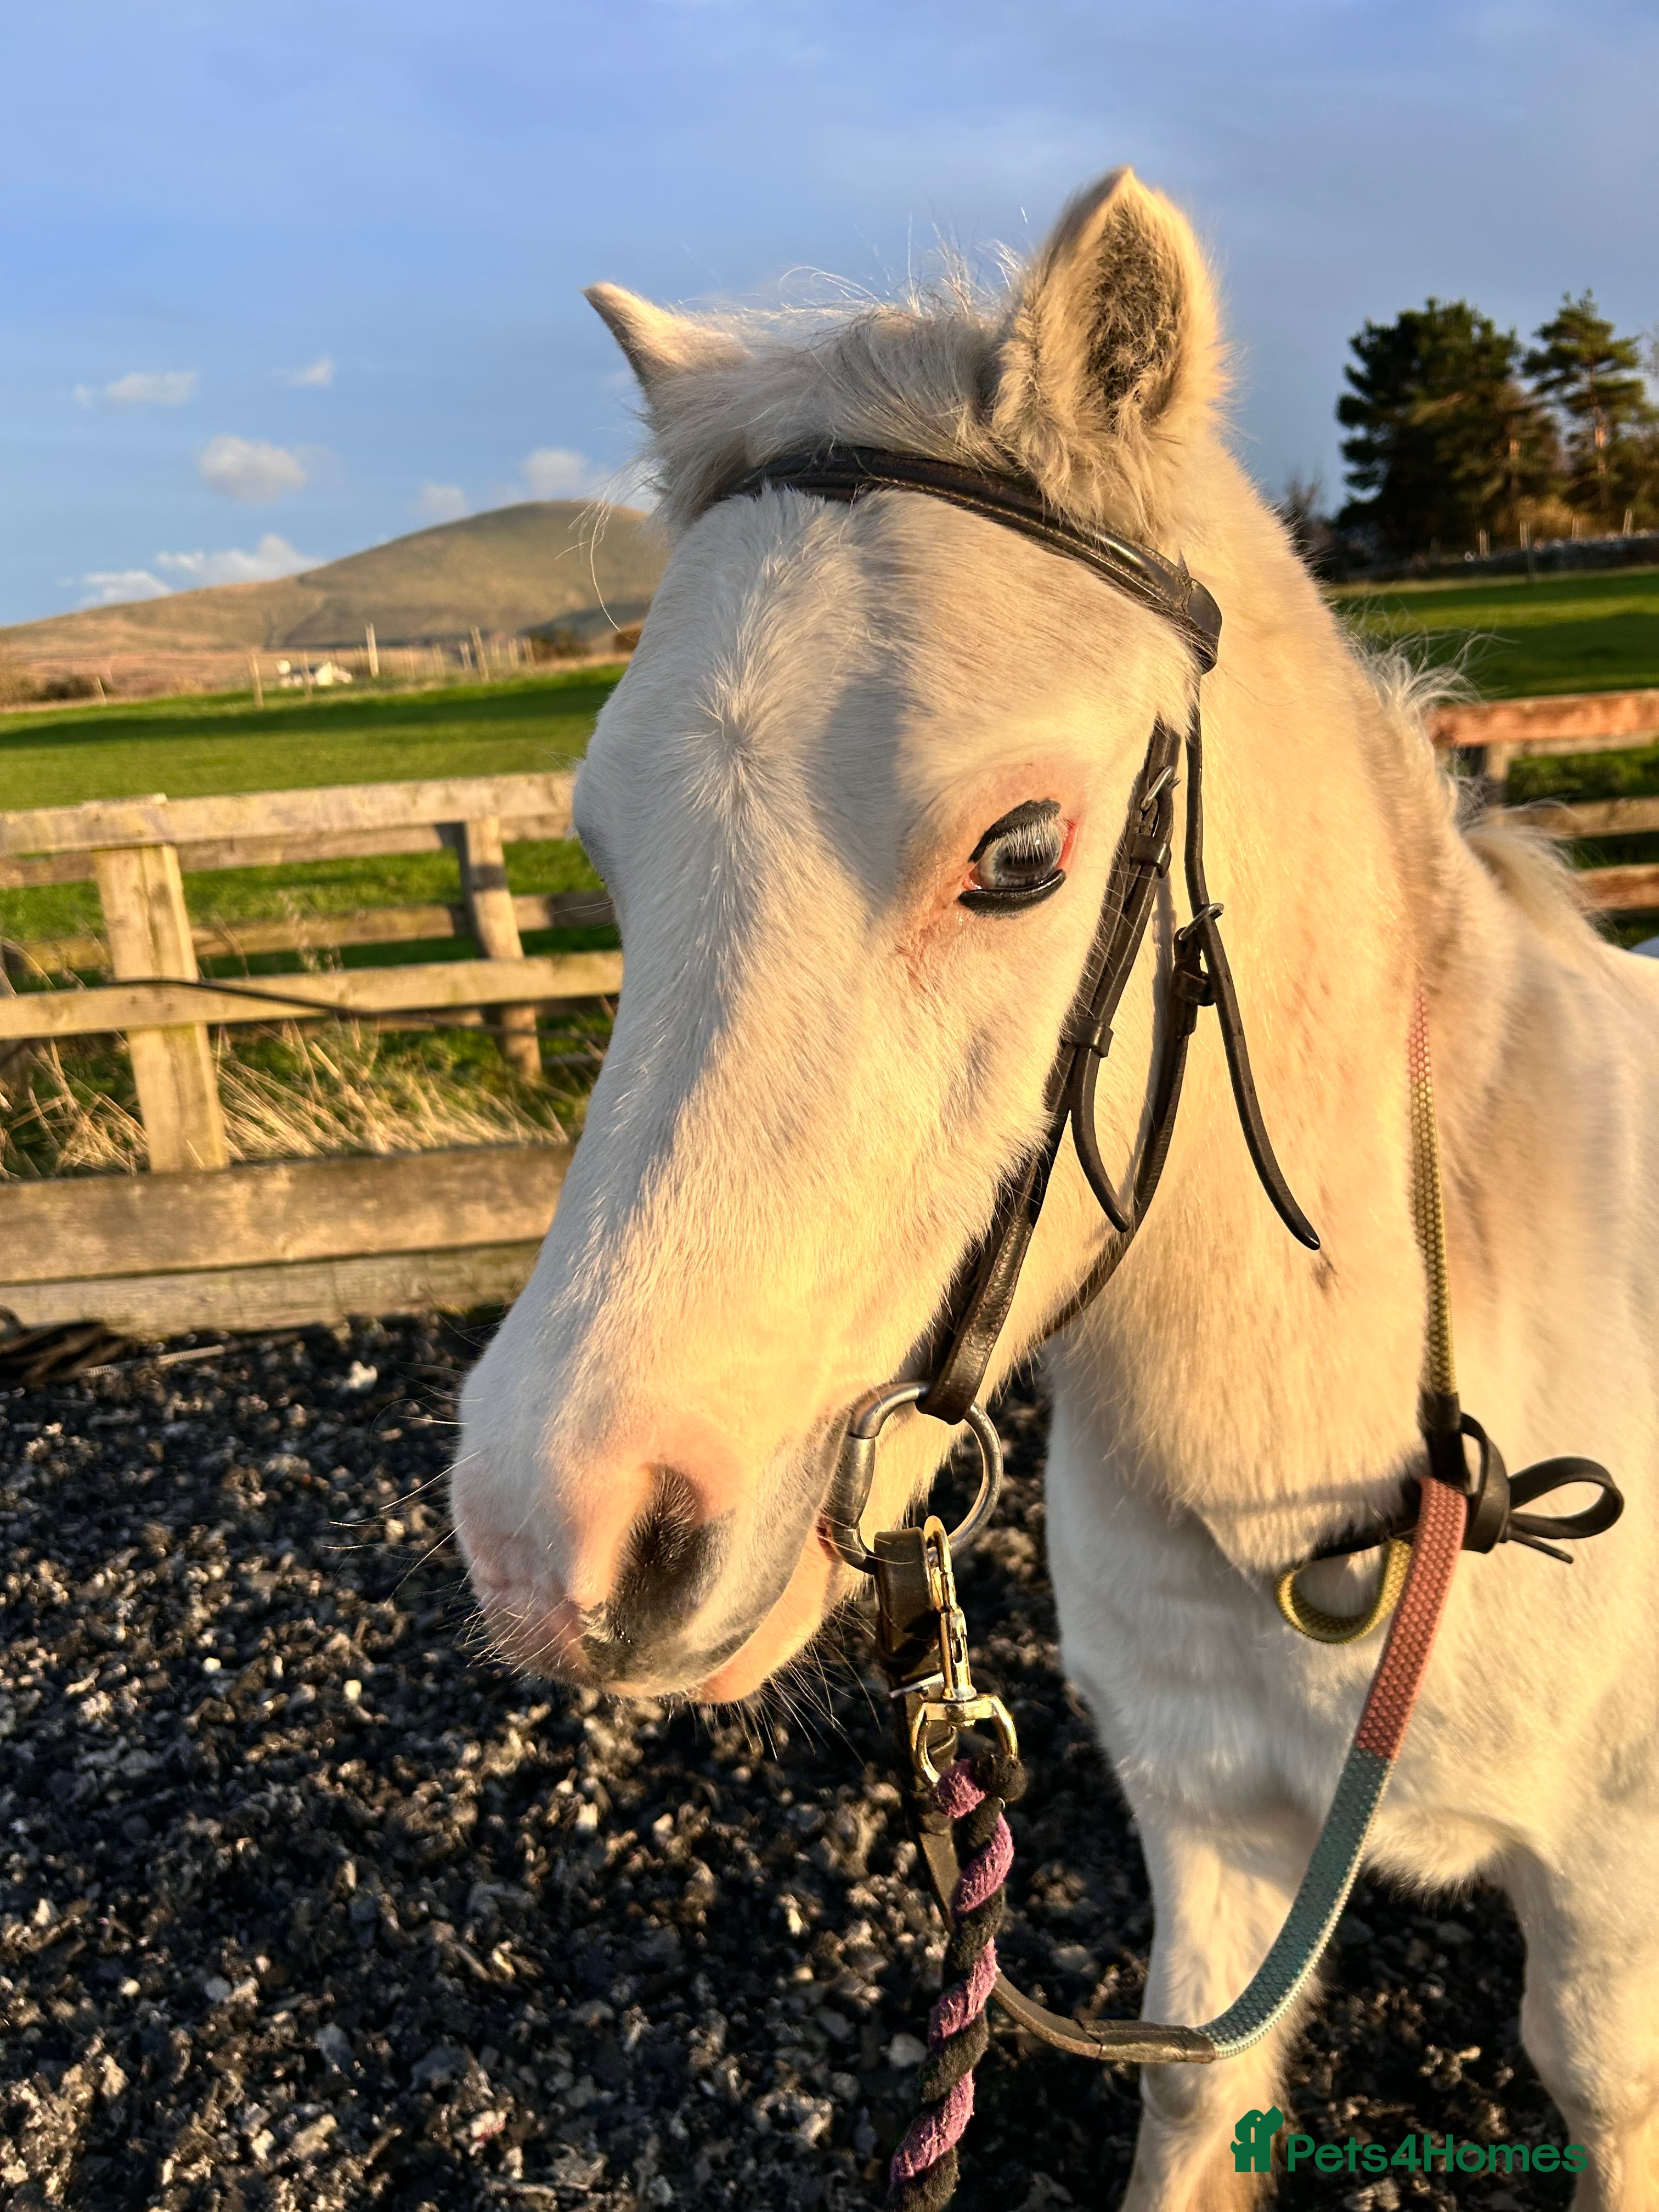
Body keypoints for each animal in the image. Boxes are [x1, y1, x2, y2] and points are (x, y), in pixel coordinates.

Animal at [452, 168, 1659, 2207]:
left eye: (1019, 850)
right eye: (601, 851)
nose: (556, 1546)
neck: (1334, 1490)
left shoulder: (1607, 1884)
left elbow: (1605, 2083)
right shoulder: (1214, 1824)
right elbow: (1200, 2094)